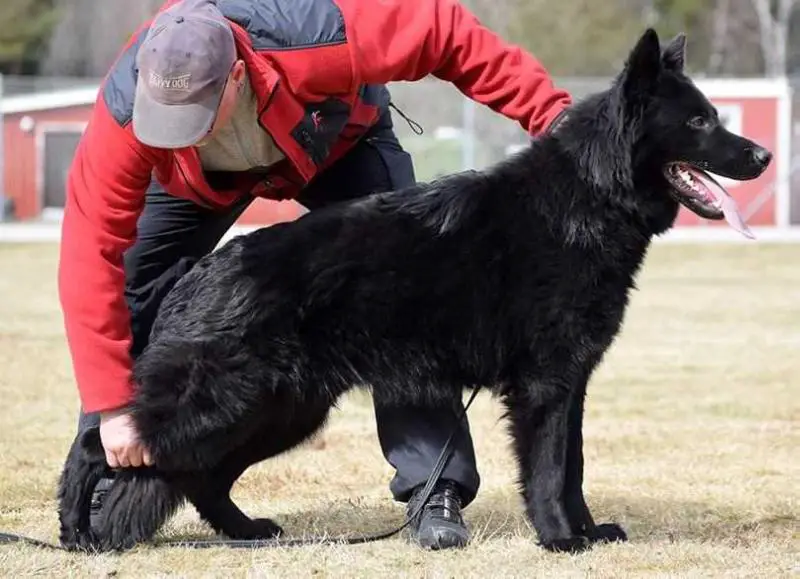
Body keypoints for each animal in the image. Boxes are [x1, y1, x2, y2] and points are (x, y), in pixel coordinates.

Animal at [56, 29, 768, 556]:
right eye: (701, 121)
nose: (761, 156)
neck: (588, 198)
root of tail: (196, 275)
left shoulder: (572, 385)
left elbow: (574, 467)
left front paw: (588, 531)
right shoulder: (545, 386)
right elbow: (548, 469)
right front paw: (561, 540)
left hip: (280, 410)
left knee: (199, 475)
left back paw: (244, 533)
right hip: (225, 403)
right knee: (106, 446)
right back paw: (75, 528)